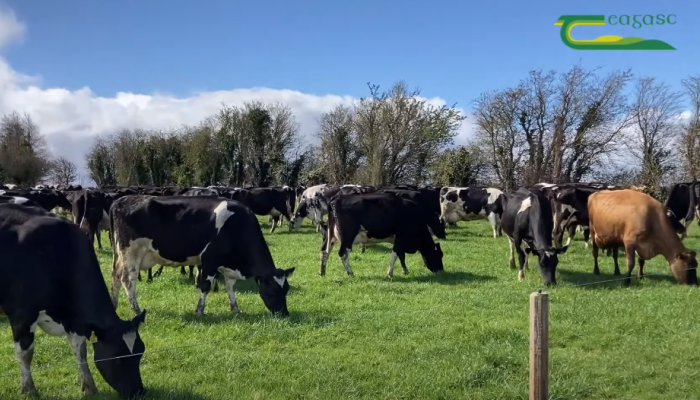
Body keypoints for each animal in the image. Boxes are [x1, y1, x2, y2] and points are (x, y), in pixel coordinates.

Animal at [0, 203, 147, 398]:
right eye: (118, 359)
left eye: (140, 352)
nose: (138, 392)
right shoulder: (22, 315)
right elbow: (25, 354)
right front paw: (29, 390)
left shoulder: (76, 321)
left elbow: (80, 351)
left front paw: (89, 387)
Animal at [109, 195, 295, 316]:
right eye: (273, 291)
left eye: (286, 290)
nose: (284, 313)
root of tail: (121, 201)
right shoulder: (209, 260)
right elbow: (205, 286)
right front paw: (199, 311)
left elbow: (230, 287)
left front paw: (235, 308)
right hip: (131, 253)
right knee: (128, 280)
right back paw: (136, 310)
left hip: (119, 255)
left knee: (115, 277)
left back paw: (114, 305)